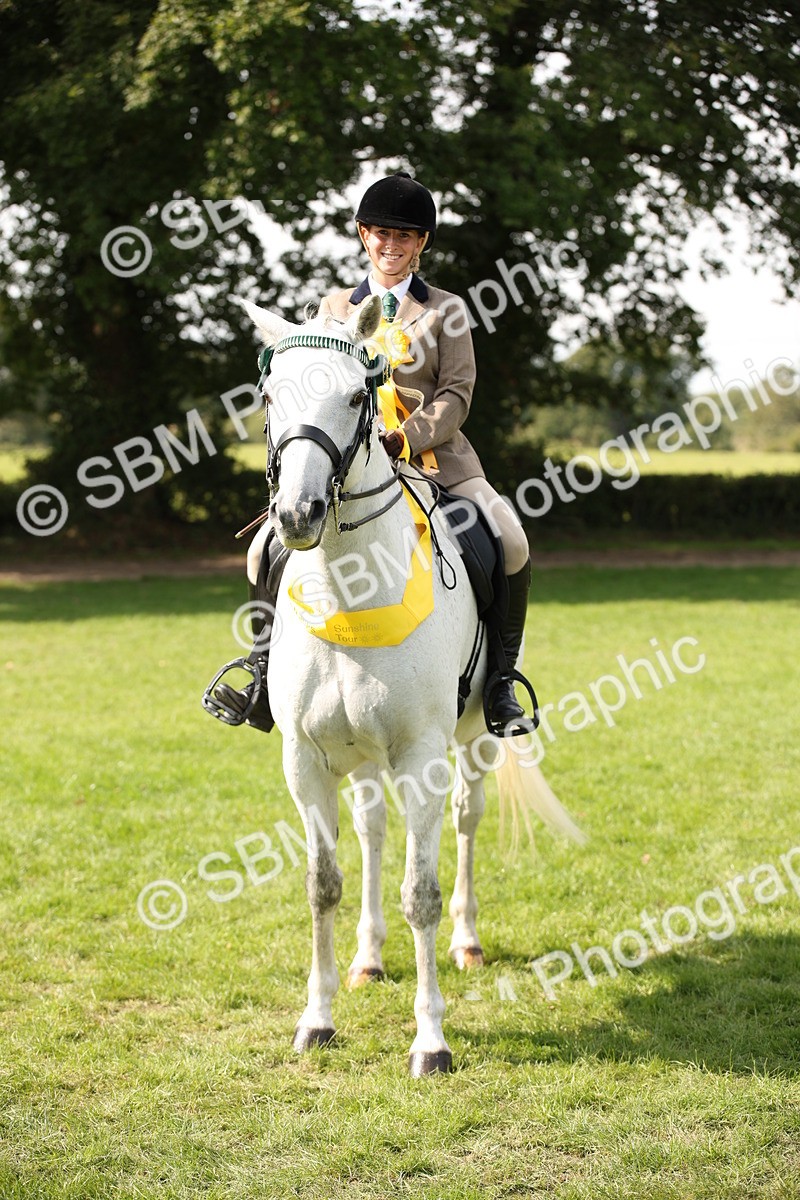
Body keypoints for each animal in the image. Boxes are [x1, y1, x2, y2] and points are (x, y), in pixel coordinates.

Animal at [234, 293, 583, 1075]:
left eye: (356, 395)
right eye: (270, 396)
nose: (297, 515)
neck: (350, 587)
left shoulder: (422, 756)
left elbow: (420, 891)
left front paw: (431, 1042)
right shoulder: (304, 761)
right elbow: (322, 884)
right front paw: (317, 1020)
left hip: (472, 739)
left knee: (464, 821)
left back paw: (468, 943)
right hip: (360, 756)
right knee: (370, 830)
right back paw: (367, 959)